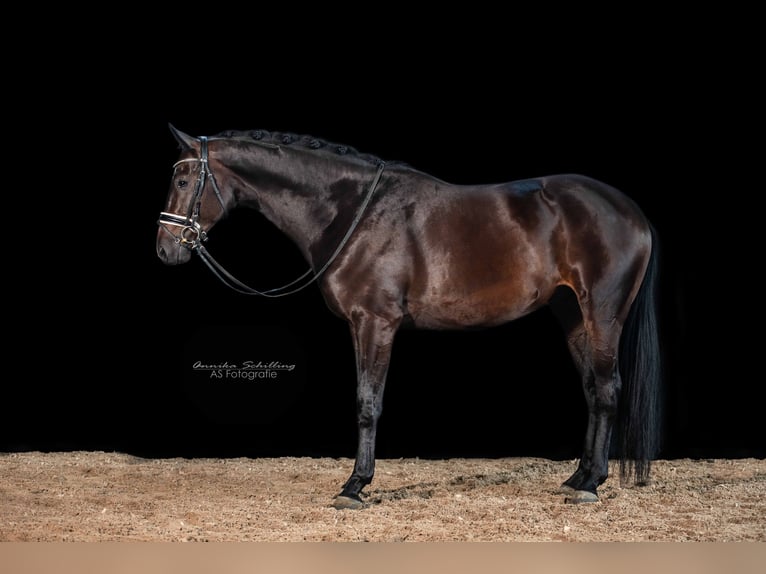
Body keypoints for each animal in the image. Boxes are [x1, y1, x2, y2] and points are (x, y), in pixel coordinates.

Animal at [156, 125, 660, 508]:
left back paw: (592, 484)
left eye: (182, 181)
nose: (165, 249)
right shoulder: (363, 325)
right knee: (592, 390)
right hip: (572, 315)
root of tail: (631, 211)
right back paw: (578, 477)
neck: (353, 212)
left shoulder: (375, 322)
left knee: (607, 389)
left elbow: (367, 402)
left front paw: (355, 487)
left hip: (603, 314)